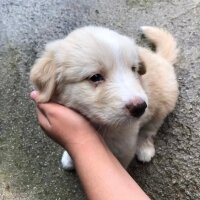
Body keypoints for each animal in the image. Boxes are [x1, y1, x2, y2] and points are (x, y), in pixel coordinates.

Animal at [30, 25, 178, 170]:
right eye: (95, 77)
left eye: (133, 69)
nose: (140, 107)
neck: (101, 127)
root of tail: (161, 59)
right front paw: (69, 158)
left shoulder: (125, 149)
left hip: (162, 107)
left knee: (149, 131)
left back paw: (144, 149)